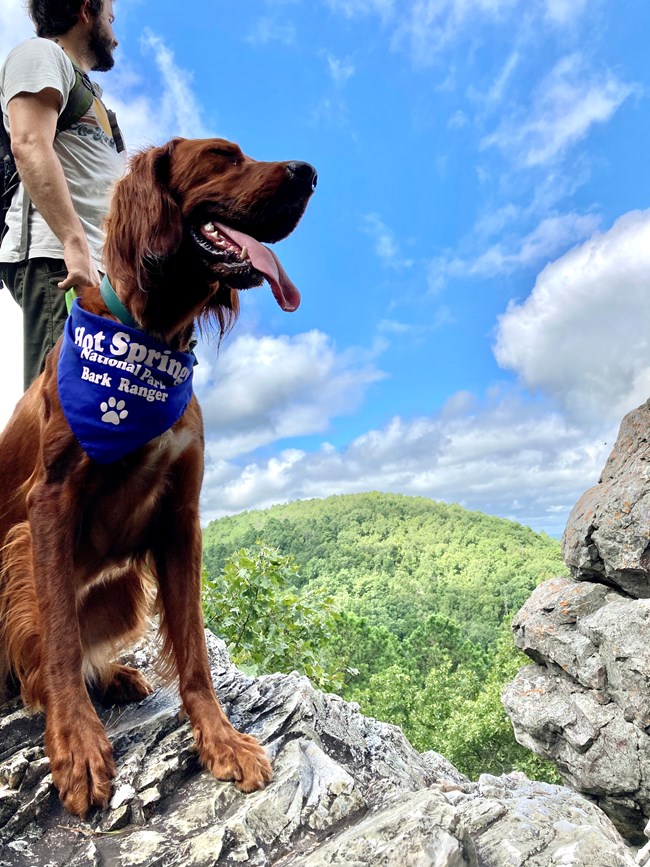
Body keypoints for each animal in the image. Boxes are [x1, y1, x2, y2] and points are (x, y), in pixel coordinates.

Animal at [0, 139, 316, 816]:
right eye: (221, 157)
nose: (309, 174)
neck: (150, 337)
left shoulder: (180, 517)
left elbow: (193, 650)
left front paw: (221, 739)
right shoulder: (49, 506)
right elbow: (58, 635)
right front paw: (76, 743)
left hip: (120, 594)